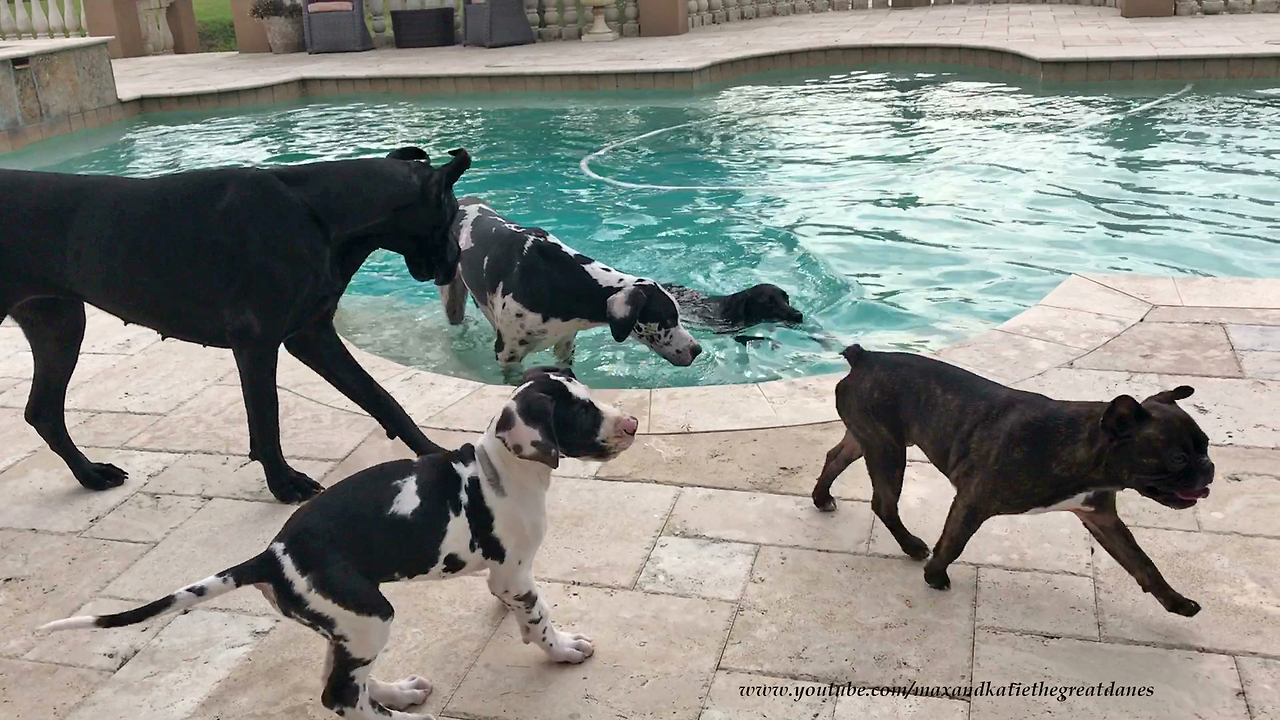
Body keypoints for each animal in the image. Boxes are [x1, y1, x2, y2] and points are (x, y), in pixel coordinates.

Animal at [40, 366, 640, 717]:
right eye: (582, 412)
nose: (633, 423)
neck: (505, 468)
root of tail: (271, 556)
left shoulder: (505, 576)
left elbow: (512, 605)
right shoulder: (515, 571)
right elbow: (538, 617)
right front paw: (563, 648)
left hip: (348, 623)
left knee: (343, 679)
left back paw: (398, 693)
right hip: (371, 614)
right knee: (340, 696)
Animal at [814, 345, 1213, 614]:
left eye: (1207, 445)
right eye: (1177, 458)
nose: (1208, 468)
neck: (1082, 444)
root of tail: (865, 357)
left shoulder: (1102, 519)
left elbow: (1143, 563)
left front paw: (1177, 602)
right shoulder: (973, 501)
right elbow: (953, 543)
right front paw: (935, 576)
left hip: (867, 438)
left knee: (835, 458)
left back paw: (821, 498)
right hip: (887, 449)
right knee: (884, 502)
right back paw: (911, 546)